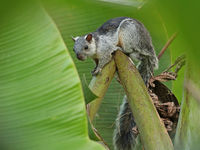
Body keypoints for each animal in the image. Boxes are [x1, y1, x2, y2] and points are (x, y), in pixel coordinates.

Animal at [72, 17, 158, 149]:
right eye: (73, 49)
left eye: (86, 47)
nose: (79, 57)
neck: (96, 45)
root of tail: (148, 46)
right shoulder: (95, 58)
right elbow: (97, 62)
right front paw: (94, 68)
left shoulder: (105, 50)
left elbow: (105, 60)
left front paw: (98, 69)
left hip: (129, 35)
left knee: (133, 52)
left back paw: (120, 49)